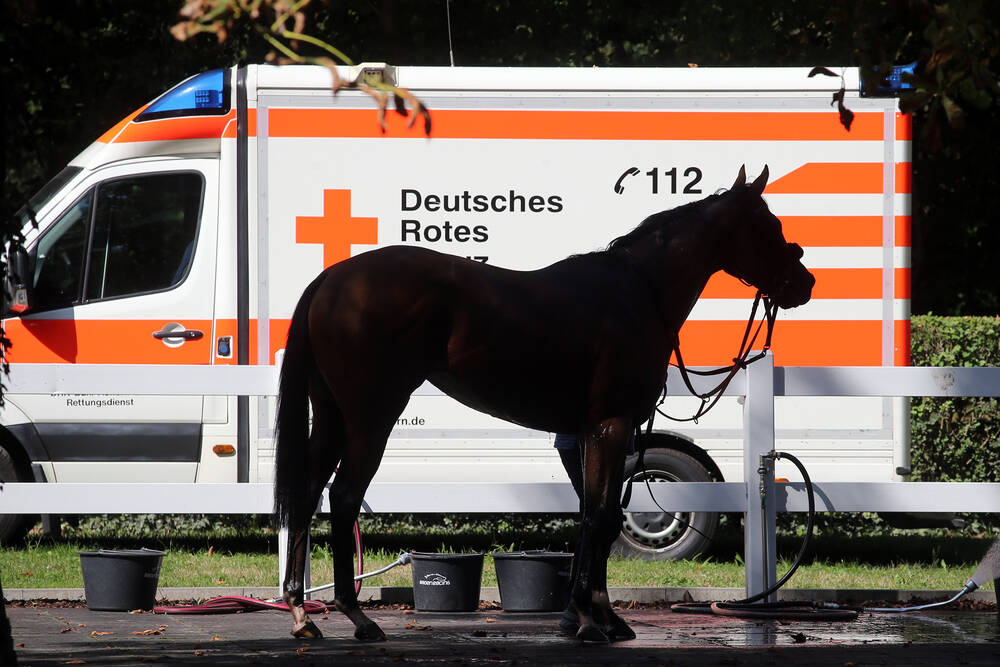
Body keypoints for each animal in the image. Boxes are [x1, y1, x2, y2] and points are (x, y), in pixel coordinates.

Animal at [273, 165, 815, 642]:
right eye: (769, 225)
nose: (804, 282)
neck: (640, 293)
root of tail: (331, 280)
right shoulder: (611, 424)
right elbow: (600, 517)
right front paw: (591, 622)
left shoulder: (597, 431)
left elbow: (598, 514)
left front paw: (600, 618)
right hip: (371, 418)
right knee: (344, 497)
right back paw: (357, 617)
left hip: (331, 417)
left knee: (306, 493)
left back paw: (302, 613)